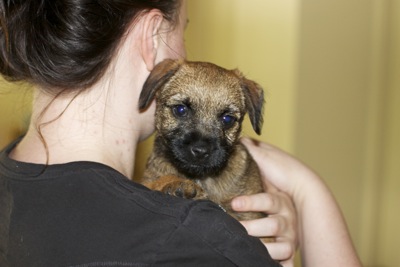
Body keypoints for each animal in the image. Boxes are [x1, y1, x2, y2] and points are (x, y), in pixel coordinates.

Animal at [139, 59, 268, 223]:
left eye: (227, 119)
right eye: (180, 109)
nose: (200, 151)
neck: (200, 177)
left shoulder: (252, 214)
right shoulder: (146, 179)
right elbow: (153, 182)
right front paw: (175, 183)